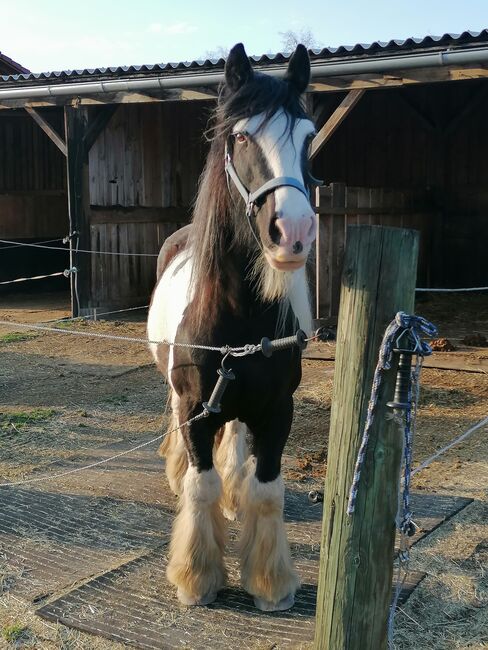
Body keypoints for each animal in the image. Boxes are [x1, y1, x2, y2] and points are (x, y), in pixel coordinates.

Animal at [147, 42, 318, 612]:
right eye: (242, 135)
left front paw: (270, 583)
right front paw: (197, 577)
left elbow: (267, 489)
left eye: (307, 137)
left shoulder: (277, 409)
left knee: (237, 441)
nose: (294, 230)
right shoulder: (195, 405)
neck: (237, 315)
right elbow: (200, 484)